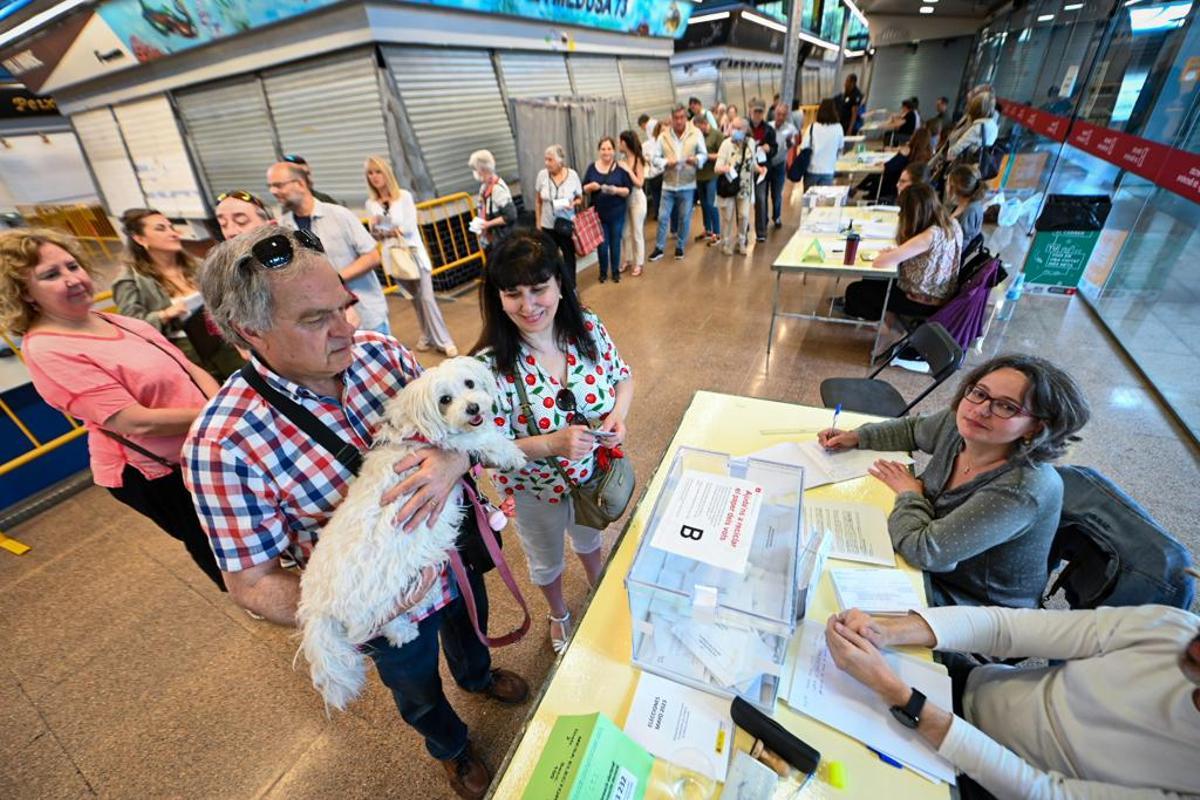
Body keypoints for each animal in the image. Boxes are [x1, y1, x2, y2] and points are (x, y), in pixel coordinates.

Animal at [297, 357, 523, 705]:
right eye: (445, 400)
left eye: (470, 384)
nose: (473, 408)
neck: (417, 434)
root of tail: (318, 607)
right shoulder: (449, 444)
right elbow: (482, 439)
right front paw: (511, 453)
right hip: (374, 600)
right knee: (375, 626)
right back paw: (405, 629)